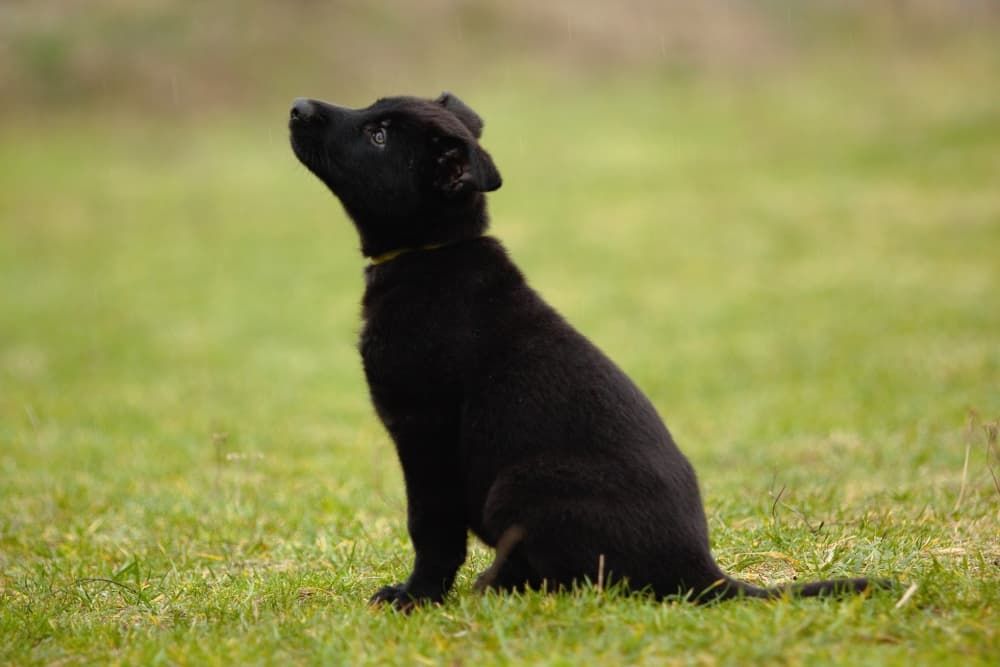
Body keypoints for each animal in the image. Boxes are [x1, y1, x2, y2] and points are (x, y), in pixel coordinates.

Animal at [288, 92, 884, 612]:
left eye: (379, 135)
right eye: (372, 113)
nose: (298, 106)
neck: (431, 252)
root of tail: (702, 572)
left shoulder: (423, 432)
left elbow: (430, 529)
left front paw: (416, 597)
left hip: (519, 485)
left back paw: (494, 587)